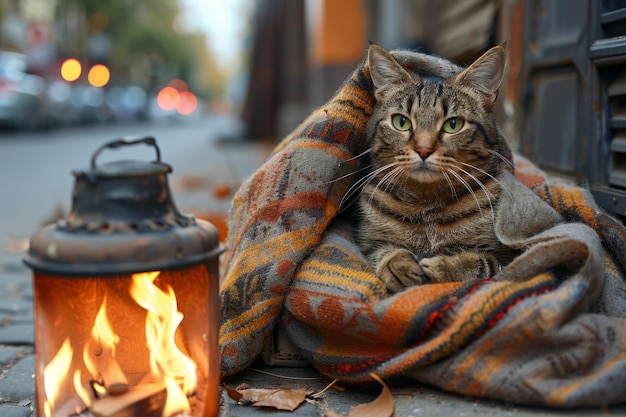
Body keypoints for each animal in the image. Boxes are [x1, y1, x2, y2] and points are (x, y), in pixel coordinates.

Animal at [356, 44, 516, 290]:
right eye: (401, 122)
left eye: (453, 125)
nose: (423, 149)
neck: (427, 204)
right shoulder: (368, 242)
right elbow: (384, 250)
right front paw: (398, 264)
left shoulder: (505, 256)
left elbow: (482, 263)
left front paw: (443, 267)